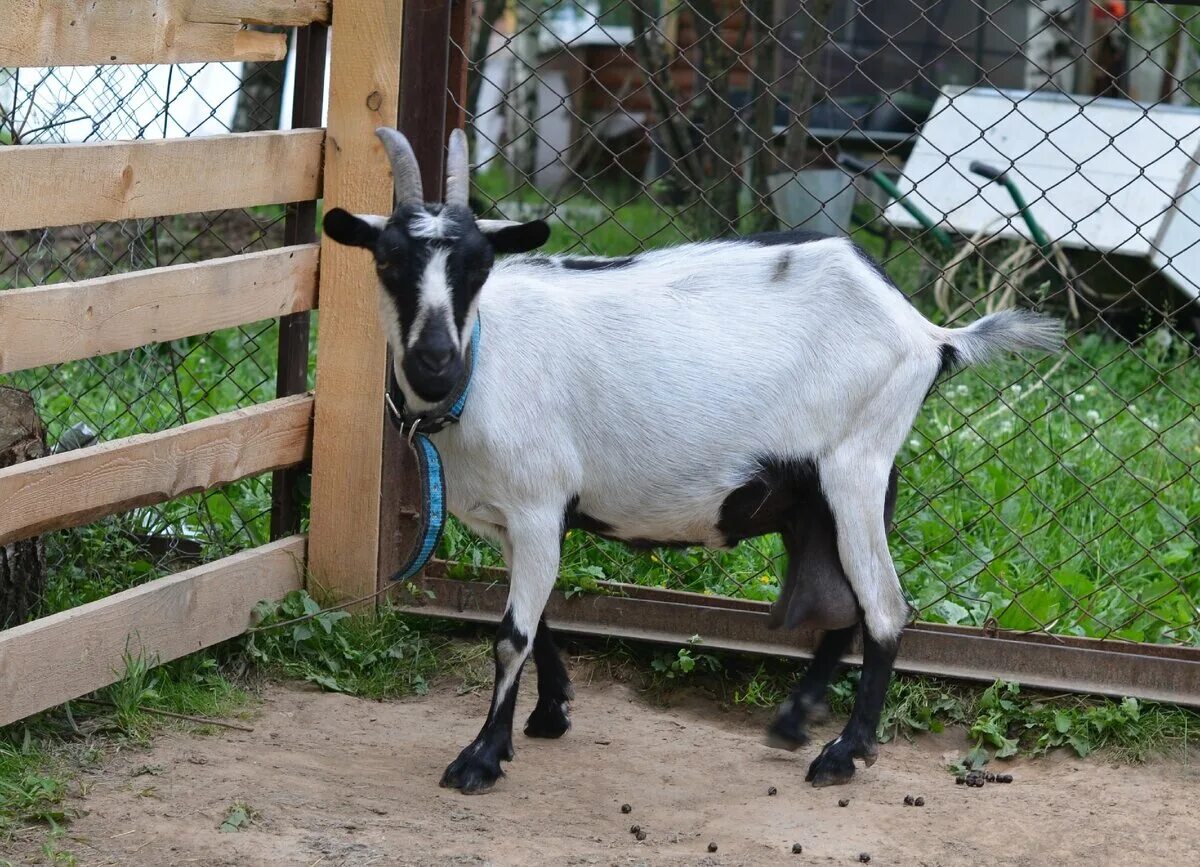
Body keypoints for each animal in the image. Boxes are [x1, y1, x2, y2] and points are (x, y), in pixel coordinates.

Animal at [324, 126, 1065, 792]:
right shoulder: (518, 518)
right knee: (844, 601)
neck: (486, 360)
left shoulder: (537, 504)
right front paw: (550, 712)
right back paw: (796, 718)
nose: (435, 361)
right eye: (388, 260)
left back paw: (842, 753)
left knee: (884, 607)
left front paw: (479, 758)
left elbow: (511, 632)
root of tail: (931, 335)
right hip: (815, 492)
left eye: (477, 264)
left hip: (856, 467)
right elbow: (537, 619)